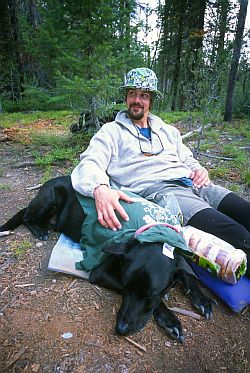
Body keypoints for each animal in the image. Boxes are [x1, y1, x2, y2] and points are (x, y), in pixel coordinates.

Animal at [0, 174, 215, 340]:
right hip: (51, 197)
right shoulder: (100, 273)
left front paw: (201, 298)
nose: (121, 329)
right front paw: (169, 319)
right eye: (125, 286)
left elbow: (186, 272)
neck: (155, 234)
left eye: (150, 295)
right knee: (26, 217)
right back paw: (40, 229)